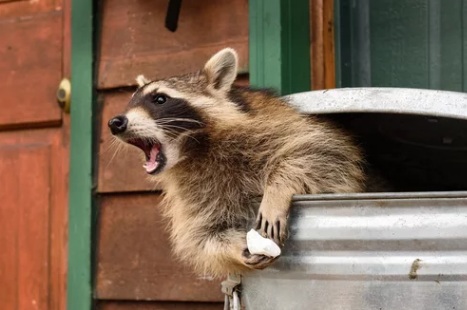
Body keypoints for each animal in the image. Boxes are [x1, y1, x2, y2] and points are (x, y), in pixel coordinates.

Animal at [109, 49, 370, 278]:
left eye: (160, 99)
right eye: (131, 101)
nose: (115, 122)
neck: (195, 150)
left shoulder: (279, 126)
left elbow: (321, 152)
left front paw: (278, 188)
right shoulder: (195, 193)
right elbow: (203, 235)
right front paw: (234, 247)